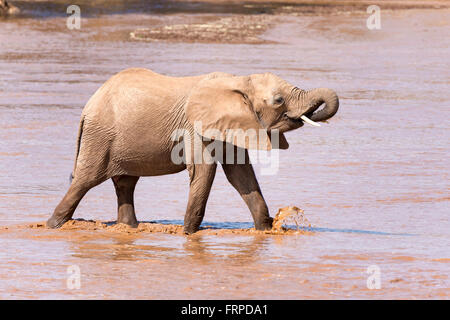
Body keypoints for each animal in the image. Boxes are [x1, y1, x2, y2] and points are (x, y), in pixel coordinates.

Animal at [47, 69, 340, 234]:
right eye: (278, 101)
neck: (239, 81)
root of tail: (88, 106)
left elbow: (240, 175)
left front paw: (265, 230)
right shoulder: (195, 126)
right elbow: (204, 172)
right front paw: (187, 235)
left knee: (125, 182)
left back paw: (129, 228)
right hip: (100, 136)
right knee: (85, 180)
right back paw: (53, 225)